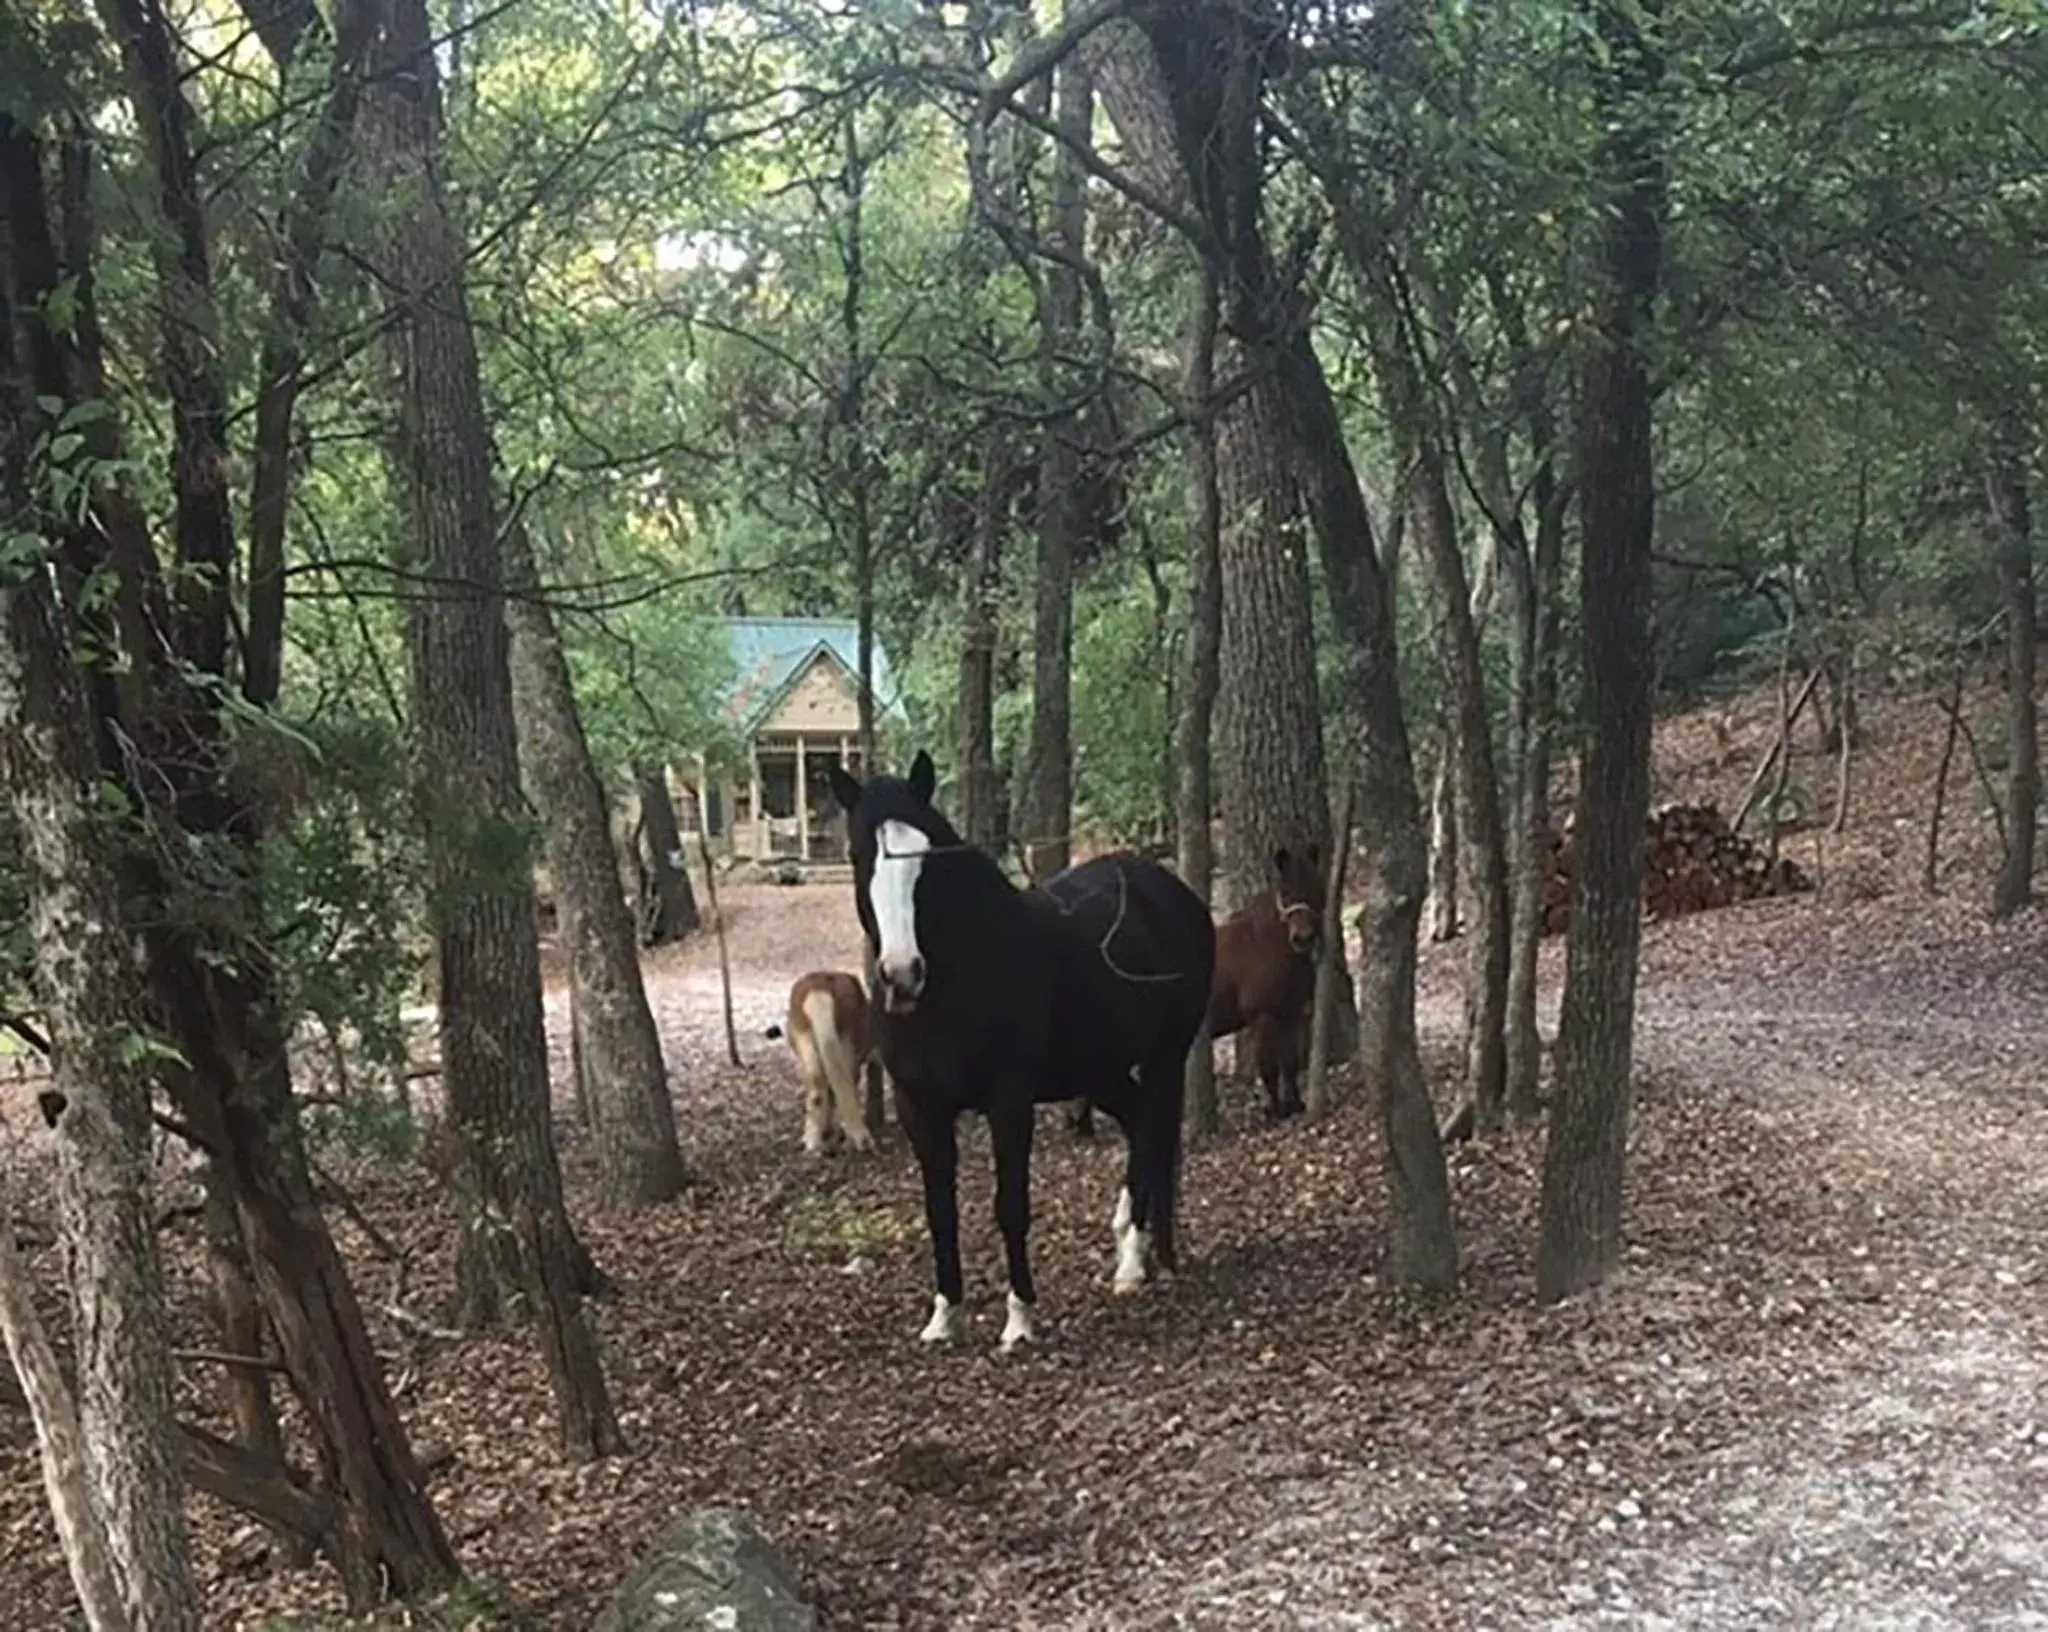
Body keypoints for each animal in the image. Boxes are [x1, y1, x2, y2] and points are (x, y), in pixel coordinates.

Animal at [827, 749, 1212, 1351]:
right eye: (858, 854)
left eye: (926, 858)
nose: (901, 974)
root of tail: (1173, 894)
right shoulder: (920, 1109)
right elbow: (940, 1212)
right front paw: (945, 1317)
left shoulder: (1008, 1103)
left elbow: (1010, 1206)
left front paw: (1020, 1318)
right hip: (1101, 1071)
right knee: (1142, 1125)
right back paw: (1135, 1250)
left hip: (1166, 1056)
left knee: (1156, 1132)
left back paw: (1143, 1259)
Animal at [1073, 839, 1327, 1130]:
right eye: (1285, 892)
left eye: (1318, 886)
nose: (1303, 938)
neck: (1268, 944)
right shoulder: (1262, 1017)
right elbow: (1269, 1067)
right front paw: (1274, 1111)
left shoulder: (1291, 1013)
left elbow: (1290, 1063)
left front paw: (1295, 1105)